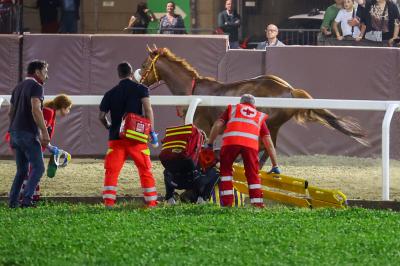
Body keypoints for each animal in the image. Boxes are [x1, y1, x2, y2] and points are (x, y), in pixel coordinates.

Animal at [141, 47, 368, 164]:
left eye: (144, 65)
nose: (139, 80)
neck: (193, 90)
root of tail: (289, 90)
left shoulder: (201, 125)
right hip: (273, 127)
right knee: (268, 149)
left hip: (271, 123)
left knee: (265, 148)